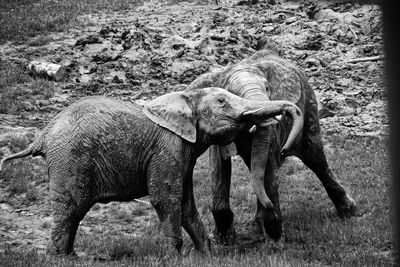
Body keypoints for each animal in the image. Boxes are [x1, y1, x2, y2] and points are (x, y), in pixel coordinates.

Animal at [0, 87, 302, 256]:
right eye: (221, 102)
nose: (284, 150)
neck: (182, 98)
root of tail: (42, 135)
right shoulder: (167, 148)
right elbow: (165, 200)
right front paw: (174, 258)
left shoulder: (182, 152)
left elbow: (185, 204)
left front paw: (207, 256)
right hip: (69, 159)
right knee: (70, 208)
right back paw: (59, 258)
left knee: (73, 212)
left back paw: (71, 257)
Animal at [188, 46, 356, 245]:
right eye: (230, 96)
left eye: (268, 88)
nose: (284, 150)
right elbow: (219, 165)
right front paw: (225, 241)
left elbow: (267, 164)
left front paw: (275, 243)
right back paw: (258, 224)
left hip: (309, 106)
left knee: (315, 158)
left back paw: (349, 212)